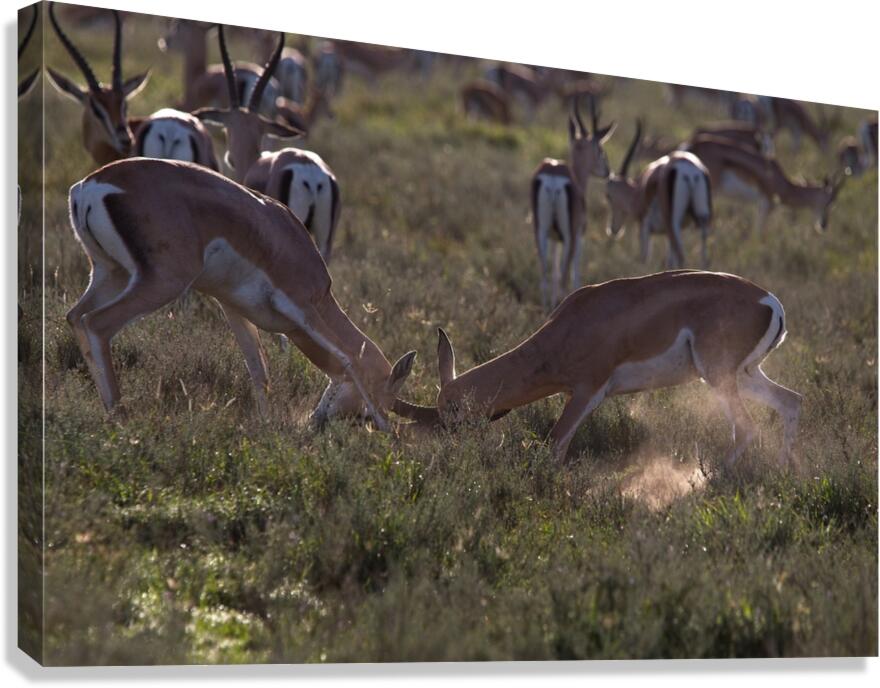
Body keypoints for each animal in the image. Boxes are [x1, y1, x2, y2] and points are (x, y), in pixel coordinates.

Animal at [65, 157, 418, 431]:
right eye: (384, 396)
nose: (315, 422)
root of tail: (90, 186)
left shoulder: (232, 306)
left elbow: (258, 369)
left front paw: (266, 426)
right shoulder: (303, 305)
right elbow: (348, 357)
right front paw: (390, 433)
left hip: (111, 274)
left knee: (76, 317)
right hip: (161, 282)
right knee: (97, 323)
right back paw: (120, 415)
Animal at [399, 271, 801, 466]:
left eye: (451, 415)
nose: (451, 455)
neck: (571, 326)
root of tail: (771, 302)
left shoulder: (587, 390)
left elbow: (554, 444)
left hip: (717, 376)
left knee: (746, 428)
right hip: (742, 375)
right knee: (791, 401)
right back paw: (784, 470)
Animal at [531, 96, 616, 309]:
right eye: (600, 149)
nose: (607, 171)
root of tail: (553, 174)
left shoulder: (554, 238)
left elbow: (553, 270)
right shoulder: (579, 234)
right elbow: (575, 273)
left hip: (540, 230)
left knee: (544, 274)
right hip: (569, 236)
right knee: (564, 275)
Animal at [604, 121, 713, 268]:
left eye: (608, 196)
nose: (613, 229)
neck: (638, 193)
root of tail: (688, 170)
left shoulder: (644, 228)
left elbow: (644, 258)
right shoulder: (666, 235)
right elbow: (669, 261)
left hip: (673, 224)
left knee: (681, 256)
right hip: (702, 220)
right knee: (704, 257)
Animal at [684, 136, 845, 232]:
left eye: (834, 203)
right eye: (829, 201)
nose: (824, 225)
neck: (784, 185)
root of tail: (692, 147)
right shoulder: (766, 205)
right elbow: (758, 233)